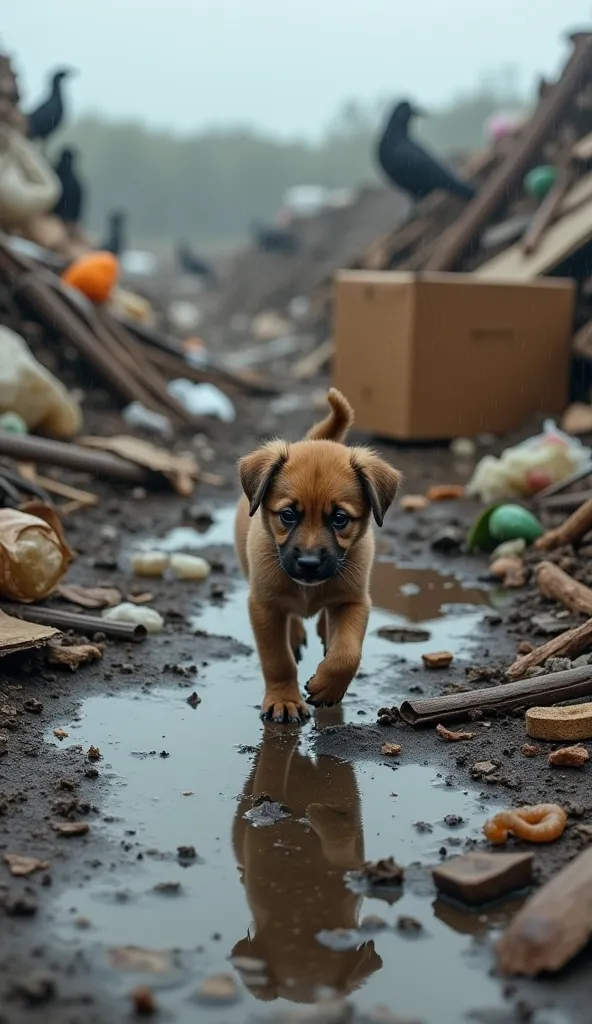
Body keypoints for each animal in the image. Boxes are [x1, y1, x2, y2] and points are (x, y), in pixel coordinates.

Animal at [232, 387, 399, 724]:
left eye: (339, 519)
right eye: (287, 515)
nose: (309, 564)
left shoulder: (354, 601)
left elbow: (347, 653)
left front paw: (327, 686)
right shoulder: (263, 605)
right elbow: (277, 660)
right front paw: (284, 700)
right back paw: (296, 634)